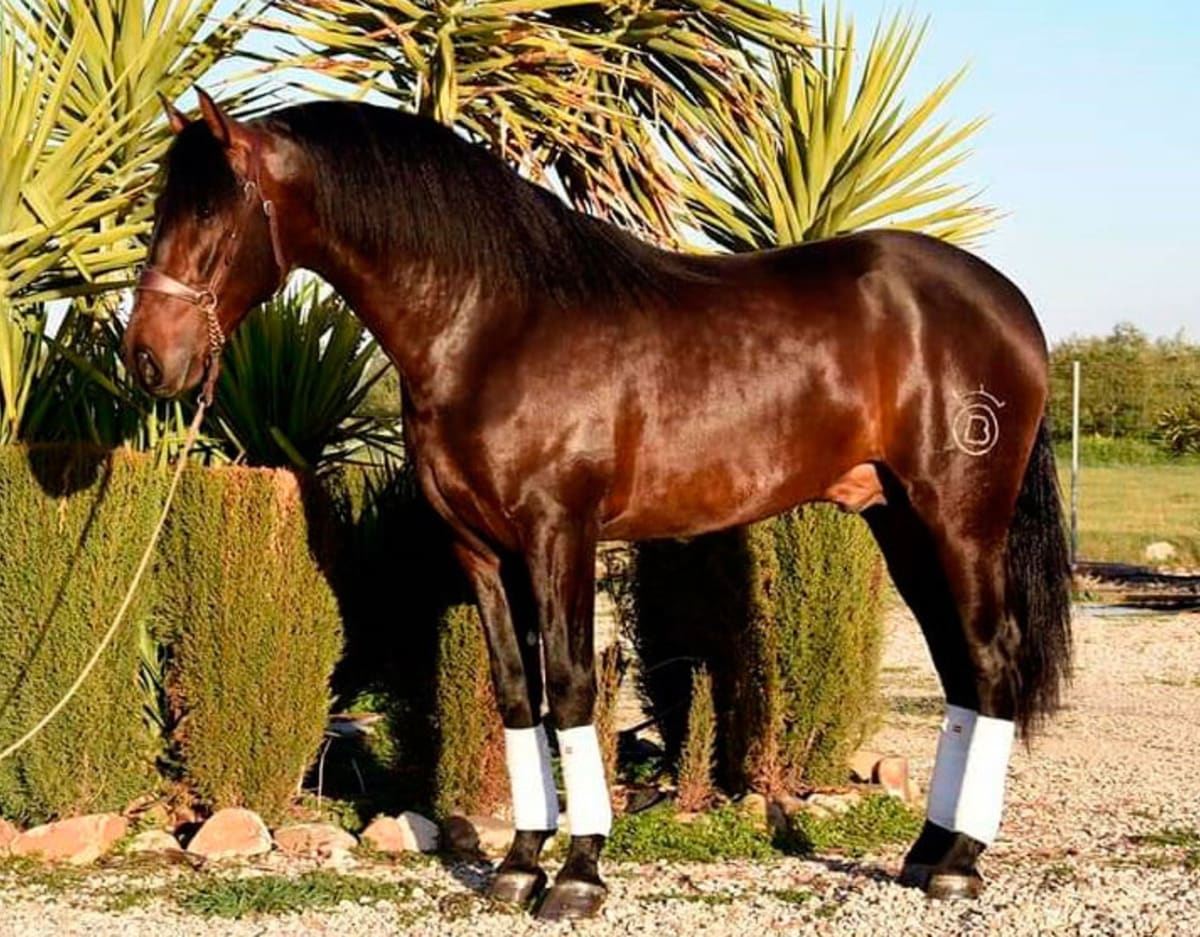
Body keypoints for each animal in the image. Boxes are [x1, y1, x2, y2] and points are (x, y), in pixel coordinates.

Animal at [124, 90, 1072, 921]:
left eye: (211, 217)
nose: (146, 358)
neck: (494, 322)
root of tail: (1010, 305)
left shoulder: (561, 534)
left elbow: (575, 691)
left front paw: (579, 876)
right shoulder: (480, 549)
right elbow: (518, 695)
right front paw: (517, 867)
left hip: (960, 520)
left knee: (991, 661)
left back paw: (959, 863)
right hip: (898, 521)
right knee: (959, 668)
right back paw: (924, 850)